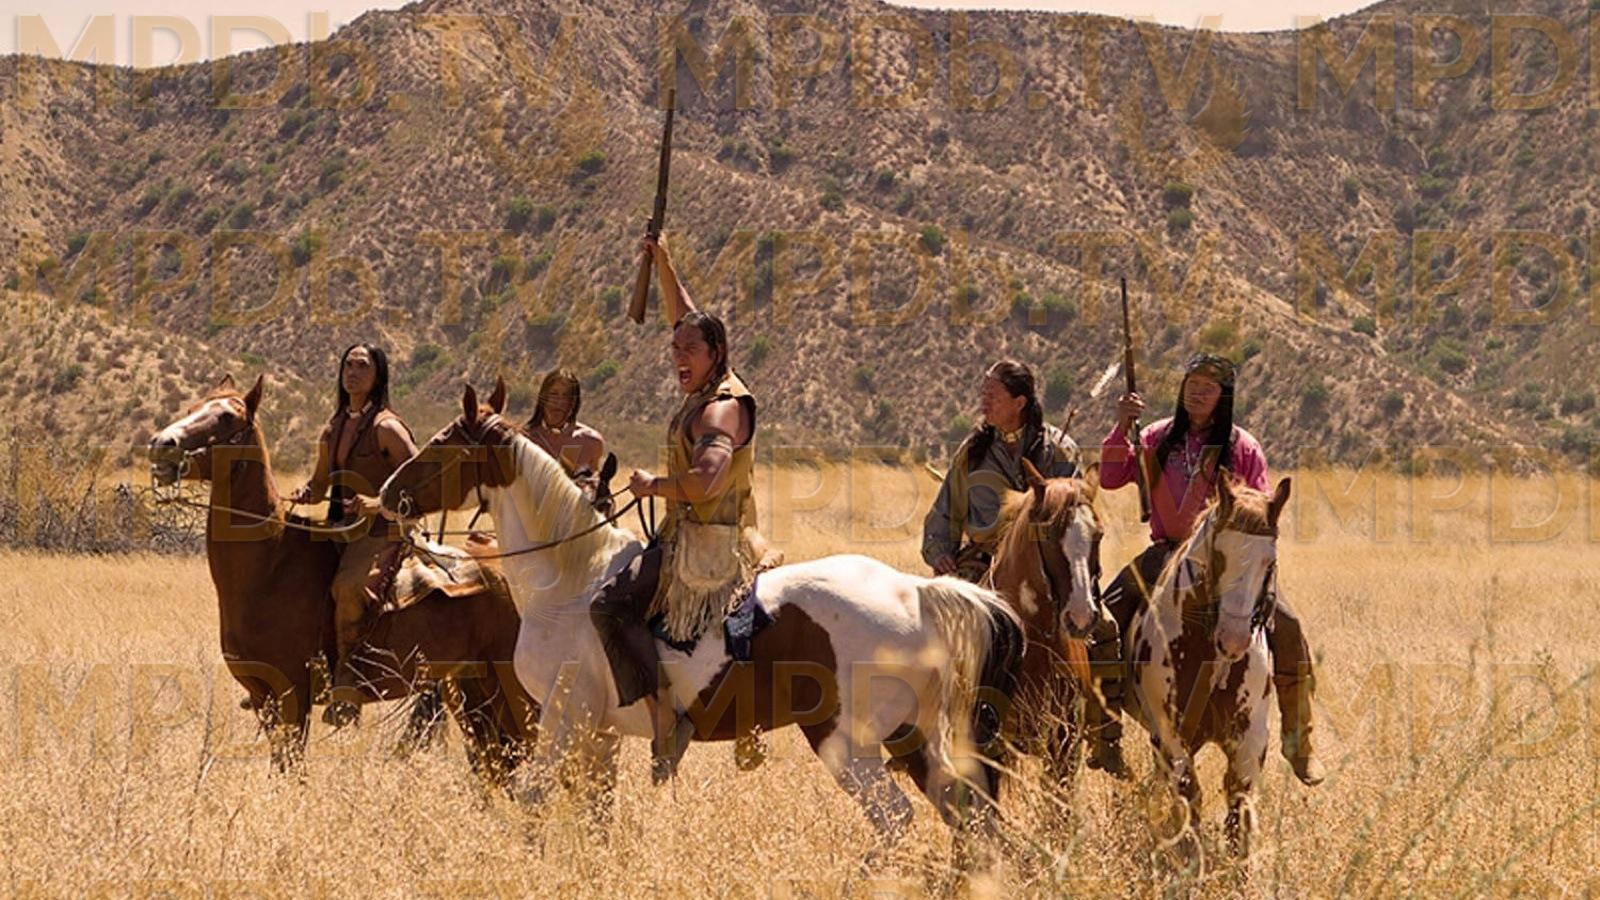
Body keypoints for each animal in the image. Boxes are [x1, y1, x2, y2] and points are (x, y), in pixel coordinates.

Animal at [147, 375, 536, 782]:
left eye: (225, 417)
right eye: (192, 409)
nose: (161, 445)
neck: (270, 564)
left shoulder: (292, 693)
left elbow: (292, 768)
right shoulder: (261, 695)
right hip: (473, 689)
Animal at [379, 378, 1026, 851]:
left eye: (442, 445)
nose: (387, 494)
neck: (569, 578)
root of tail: (917, 592)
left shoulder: (564, 720)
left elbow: (534, 801)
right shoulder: (598, 733)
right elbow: (594, 814)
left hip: (851, 745)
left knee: (896, 823)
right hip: (913, 738)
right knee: (966, 815)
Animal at [1123, 476, 1291, 860]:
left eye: (1269, 561)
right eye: (1219, 555)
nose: (1233, 638)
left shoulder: (1249, 737)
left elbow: (1239, 803)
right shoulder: (1172, 733)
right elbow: (1190, 795)